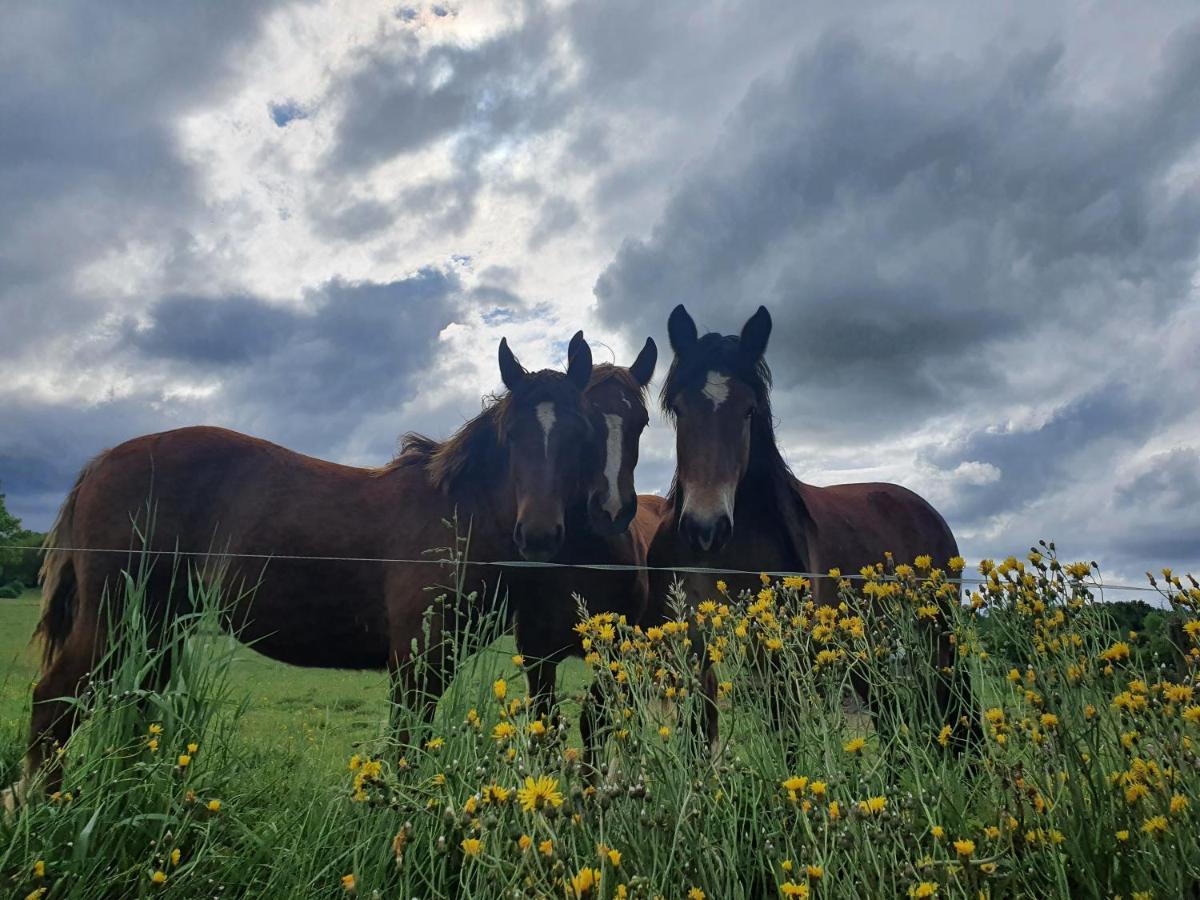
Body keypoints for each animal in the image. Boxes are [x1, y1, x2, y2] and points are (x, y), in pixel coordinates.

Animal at [10, 336, 595, 801]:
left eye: (578, 433)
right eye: (512, 435)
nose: (539, 534)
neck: (456, 513)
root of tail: (100, 463)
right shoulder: (417, 658)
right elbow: (406, 747)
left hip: (158, 629)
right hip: (112, 623)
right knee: (52, 703)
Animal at [648, 307, 974, 758]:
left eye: (748, 410)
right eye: (680, 409)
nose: (705, 528)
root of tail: (928, 511)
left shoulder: (776, 659)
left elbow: (786, 743)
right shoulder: (693, 649)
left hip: (938, 637)